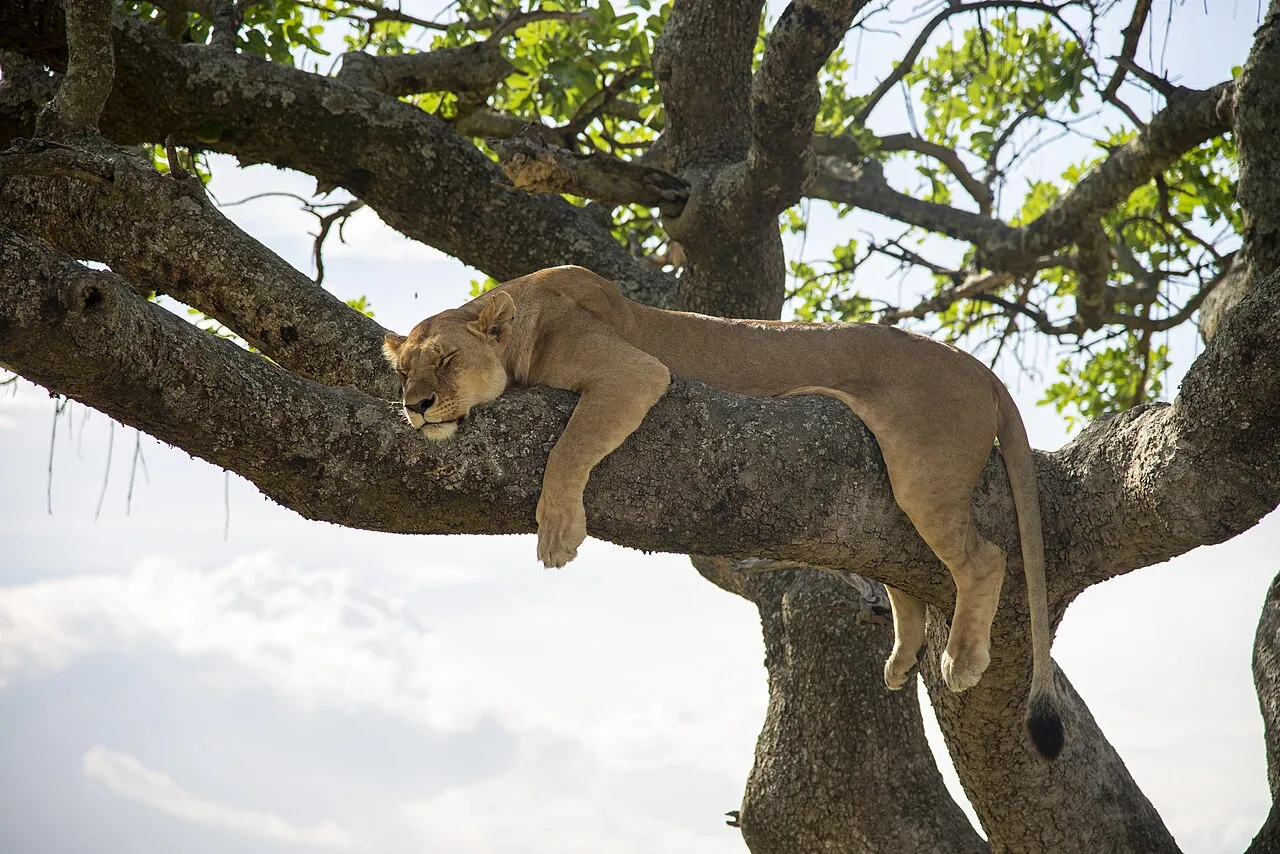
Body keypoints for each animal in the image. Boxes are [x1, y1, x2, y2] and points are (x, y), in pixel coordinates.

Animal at [384, 265, 1064, 760]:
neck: (527, 318)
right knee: (902, 570)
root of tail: (978, 366)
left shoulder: (634, 372)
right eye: (403, 371)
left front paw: (557, 534)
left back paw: (963, 661)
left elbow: (569, 446)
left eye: (445, 361)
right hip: (886, 501)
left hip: (925, 475)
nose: (415, 407)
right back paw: (901, 659)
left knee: (984, 557)